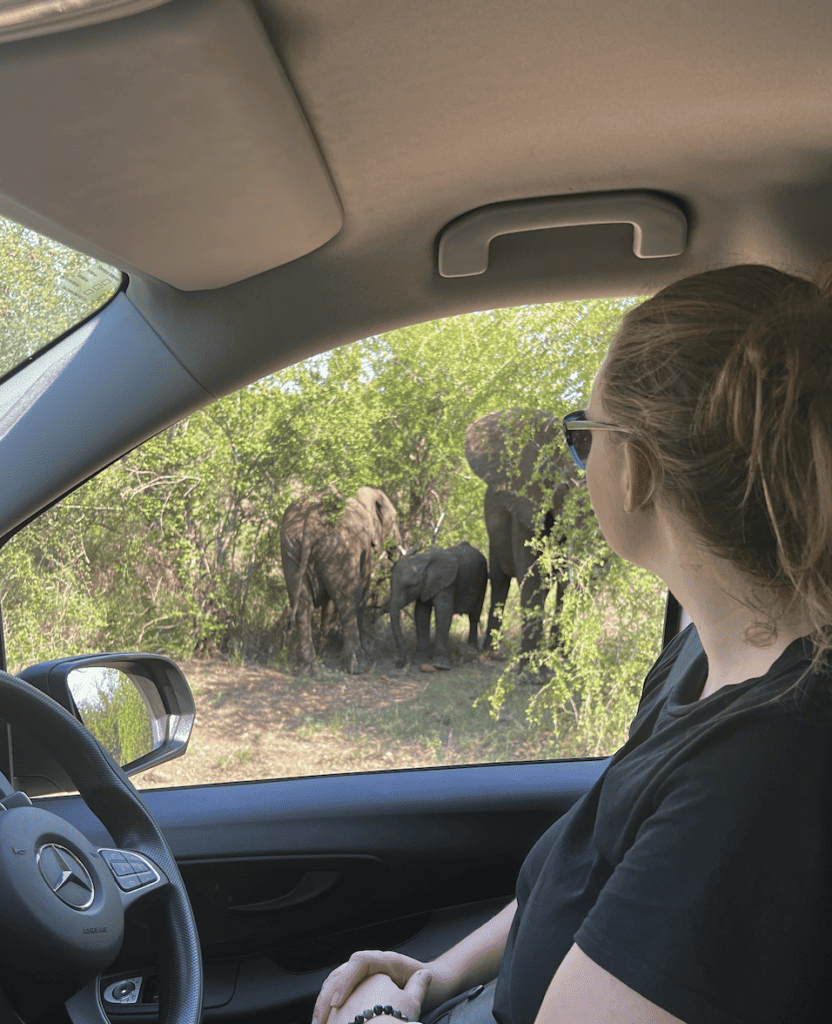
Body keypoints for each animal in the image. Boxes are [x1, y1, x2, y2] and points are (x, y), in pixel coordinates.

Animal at [278, 485, 403, 671]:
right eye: (394, 519)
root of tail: (309, 523)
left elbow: (327, 599)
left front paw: (325, 653)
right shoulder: (364, 546)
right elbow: (361, 587)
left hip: (291, 548)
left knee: (301, 603)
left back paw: (307, 665)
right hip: (339, 546)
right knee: (349, 599)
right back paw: (356, 664)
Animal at [461, 407, 586, 671]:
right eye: (564, 486)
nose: (564, 658)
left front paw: (558, 662)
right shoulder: (525, 500)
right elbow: (532, 573)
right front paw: (532, 673)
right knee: (500, 580)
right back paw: (493, 653)